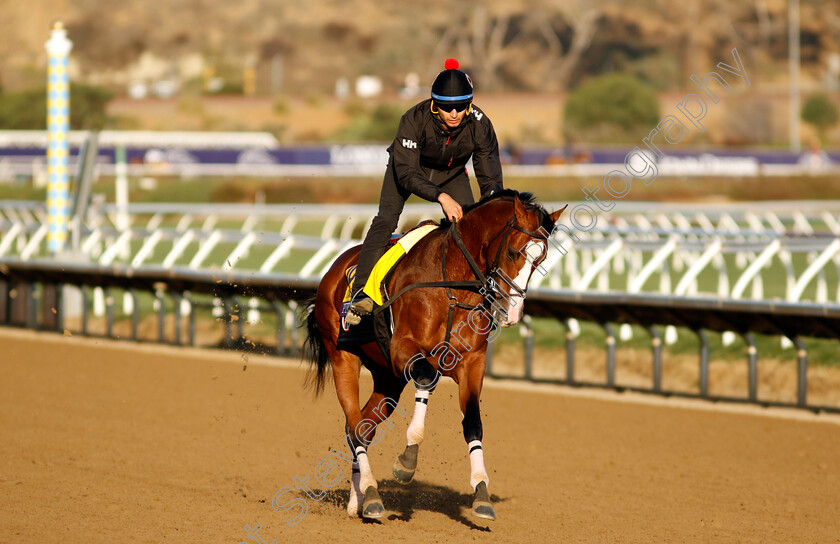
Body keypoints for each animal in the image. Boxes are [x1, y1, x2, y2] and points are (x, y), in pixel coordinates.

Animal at [302, 189, 564, 520]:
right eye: (513, 252)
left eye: (541, 258)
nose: (513, 313)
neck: (454, 284)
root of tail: (334, 271)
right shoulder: (403, 348)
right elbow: (426, 379)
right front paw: (407, 460)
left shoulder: (472, 363)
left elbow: (473, 422)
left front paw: (481, 493)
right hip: (343, 358)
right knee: (355, 428)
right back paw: (372, 495)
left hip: (387, 378)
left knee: (362, 427)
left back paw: (358, 499)